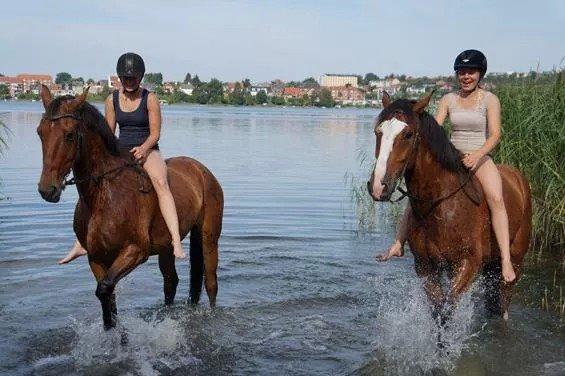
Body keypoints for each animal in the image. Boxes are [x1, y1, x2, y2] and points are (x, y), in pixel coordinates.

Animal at [35, 85, 223, 328]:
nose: (47, 190)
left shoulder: (135, 251)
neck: (104, 194)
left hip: (209, 237)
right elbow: (108, 300)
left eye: (68, 134)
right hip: (166, 247)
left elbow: (105, 289)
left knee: (210, 282)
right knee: (171, 282)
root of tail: (201, 169)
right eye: (40, 132)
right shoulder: (97, 258)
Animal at [368, 92, 532, 322]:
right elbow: (438, 310)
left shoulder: (467, 263)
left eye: (408, 134)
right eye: (378, 131)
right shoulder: (426, 266)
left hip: (514, 261)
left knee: (503, 304)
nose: (378, 186)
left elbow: (448, 308)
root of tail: (518, 178)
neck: (441, 204)